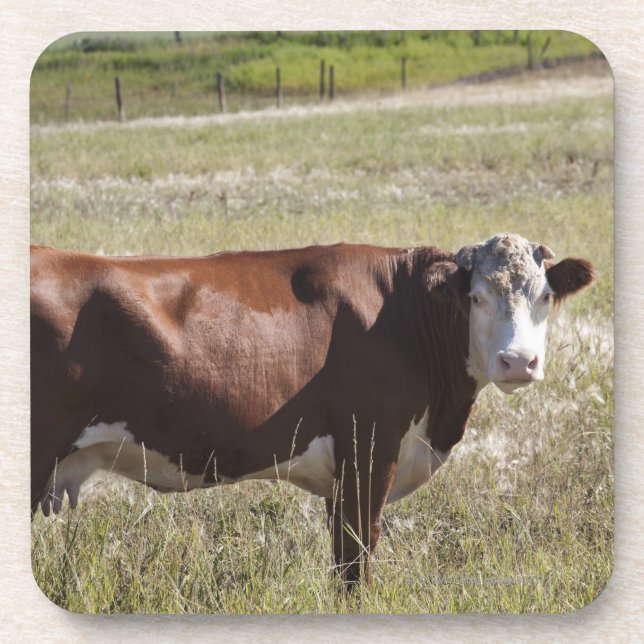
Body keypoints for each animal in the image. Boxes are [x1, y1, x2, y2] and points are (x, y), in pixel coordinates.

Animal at [31, 233, 593, 585]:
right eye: (475, 297)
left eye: (544, 296)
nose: (518, 361)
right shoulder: (369, 453)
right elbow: (356, 563)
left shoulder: (342, 476)